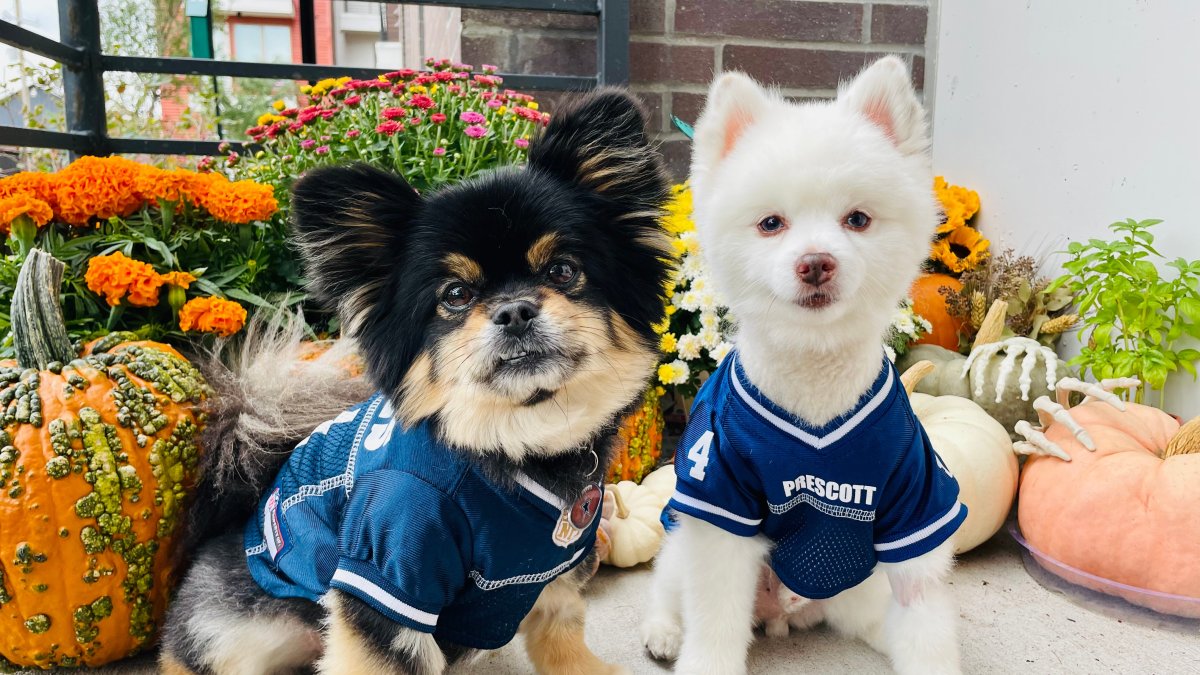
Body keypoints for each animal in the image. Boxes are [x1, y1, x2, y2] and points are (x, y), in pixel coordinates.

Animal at [162, 90, 676, 672]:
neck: (511, 446)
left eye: (562, 271)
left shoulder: (558, 567)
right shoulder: (386, 571)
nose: (515, 311)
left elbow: (561, 631)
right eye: (455, 295)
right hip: (245, 627)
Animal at [638, 57, 964, 672]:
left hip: (860, 589)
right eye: (771, 223)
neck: (814, 382)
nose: (816, 262)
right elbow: (713, 622)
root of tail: (781, 612)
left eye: (857, 219)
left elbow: (926, 624)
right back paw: (664, 632)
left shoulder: (916, 507)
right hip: (679, 541)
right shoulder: (718, 501)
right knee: (671, 594)